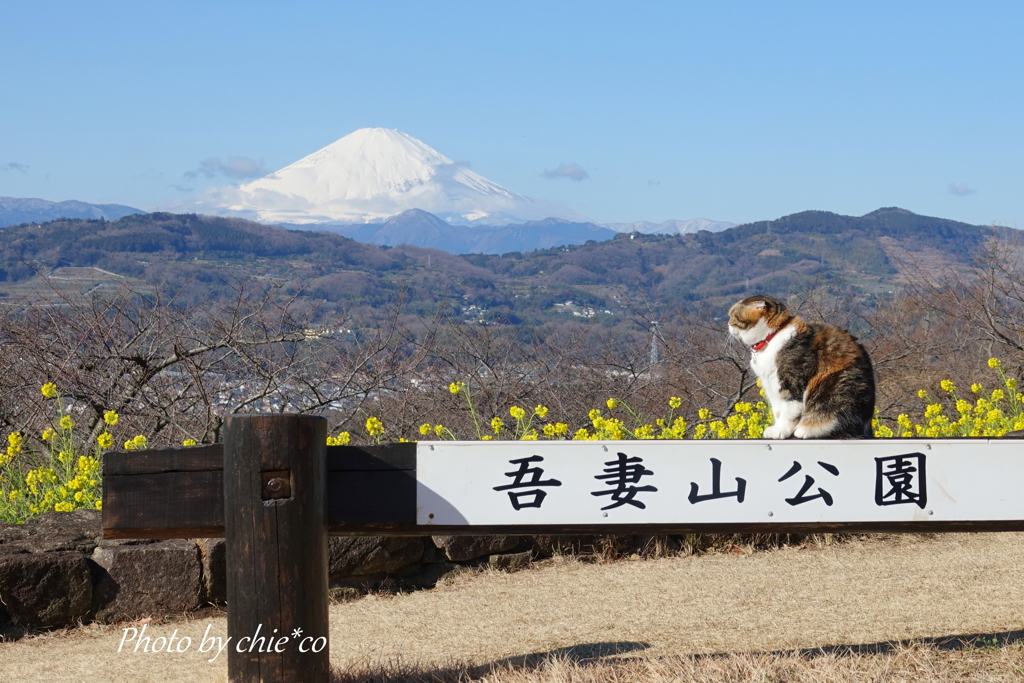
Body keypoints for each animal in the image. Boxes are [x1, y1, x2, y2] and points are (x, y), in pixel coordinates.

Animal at [724, 296, 876, 440]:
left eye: (733, 315)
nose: (727, 324)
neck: (772, 337)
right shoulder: (770, 385)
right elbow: (777, 411)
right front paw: (776, 428)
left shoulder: (791, 380)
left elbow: (788, 410)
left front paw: (781, 430)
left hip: (838, 390)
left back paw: (806, 430)